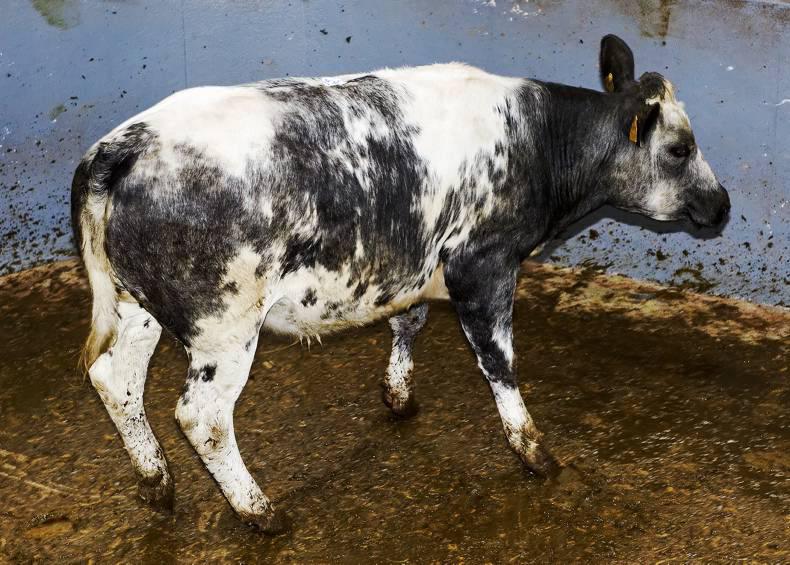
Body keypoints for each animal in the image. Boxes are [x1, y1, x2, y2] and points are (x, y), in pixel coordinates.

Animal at [71, 35, 730, 532]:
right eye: (679, 148)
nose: (722, 204)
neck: (539, 141)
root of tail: (122, 147)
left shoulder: (414, 265)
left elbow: (408, 320)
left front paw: (398, 396)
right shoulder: (483, 266)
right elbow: (500, 363)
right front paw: (536, 454)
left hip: (137, 305)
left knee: (114, 379)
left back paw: (156, 483)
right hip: (223, 325)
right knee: (202, 416)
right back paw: (259, 512)